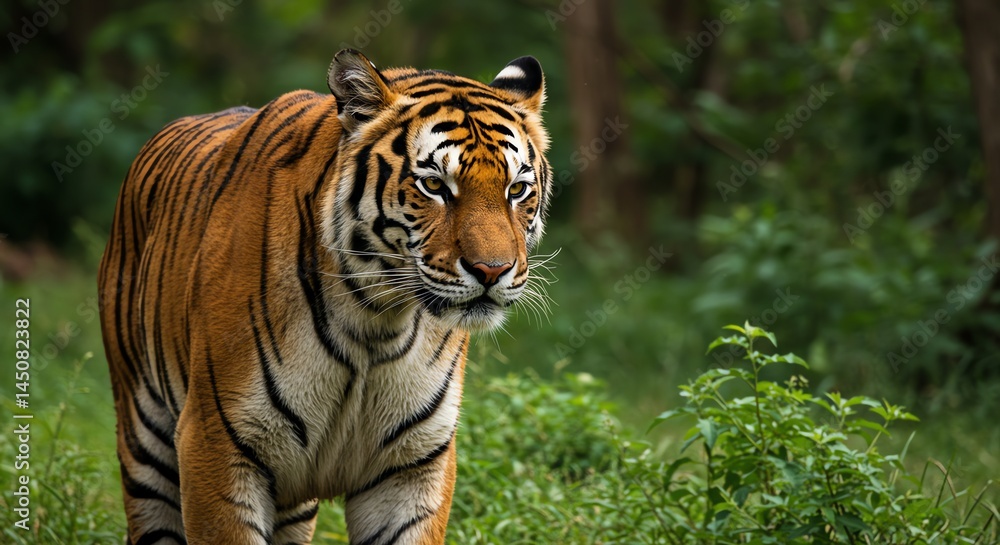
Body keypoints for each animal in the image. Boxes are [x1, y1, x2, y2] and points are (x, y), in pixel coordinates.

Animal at [97, 49, 552, 545]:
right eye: (433, 186)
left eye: (516, 189)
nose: (492, 270)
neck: (377, 319)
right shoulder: (216, 444)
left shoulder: (412, 465)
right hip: (146, 443)